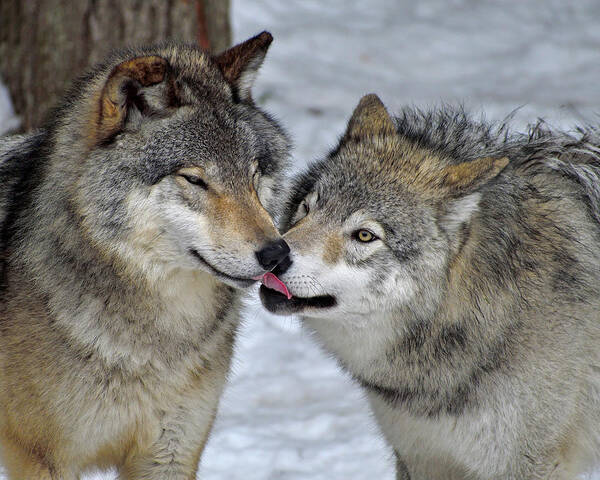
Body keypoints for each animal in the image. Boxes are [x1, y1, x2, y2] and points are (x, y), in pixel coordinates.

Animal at [0, 31, 290, 478]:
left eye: (253, 174)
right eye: (194, 179)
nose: (278, 254)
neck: (154, 347)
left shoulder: (169, 452)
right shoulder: (40, 459)